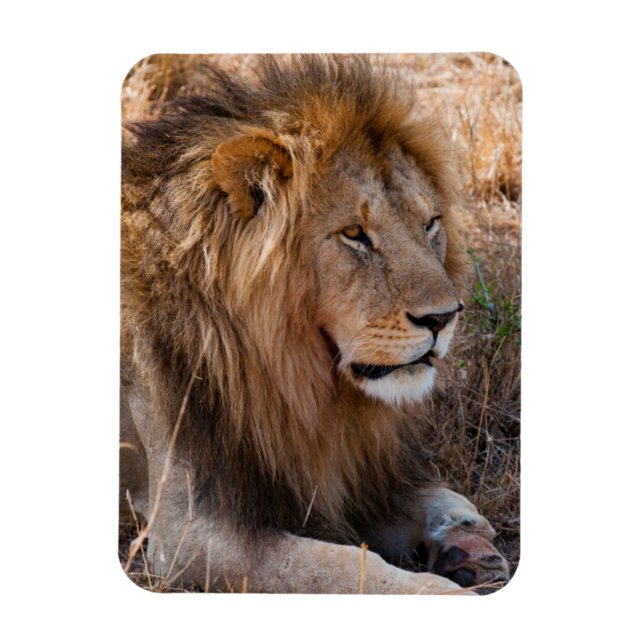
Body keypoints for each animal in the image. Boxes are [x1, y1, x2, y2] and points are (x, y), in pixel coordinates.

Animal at [120, 55, 510, 593]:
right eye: (354, 234)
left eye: (430, 223)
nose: (443, 318)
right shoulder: (191, 536)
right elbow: (347, 568)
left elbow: (436, 498)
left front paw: (466, 541)